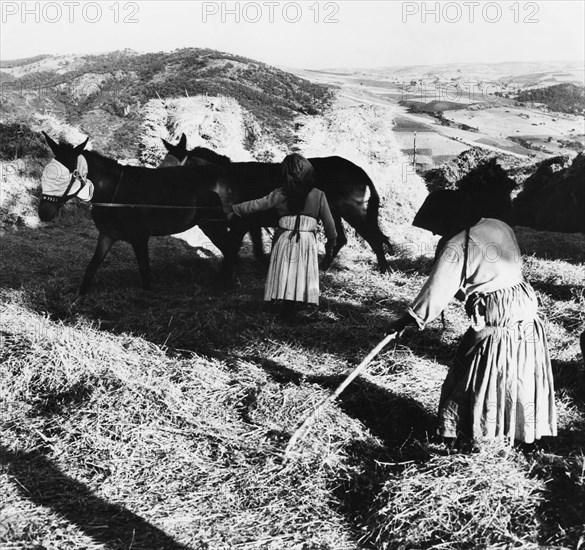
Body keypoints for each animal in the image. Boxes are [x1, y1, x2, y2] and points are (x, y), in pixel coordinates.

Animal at [38, 133, 237, 296]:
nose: (44, 213)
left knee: (229, 249)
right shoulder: (107, 235)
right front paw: (80, 296)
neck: (115, 192)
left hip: (212, 223)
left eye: (68, 175)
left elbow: (144, 271)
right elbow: (92, 267)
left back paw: (227, 283)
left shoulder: (140, 238)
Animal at [161, 134, 392, 272]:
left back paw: (384, 268)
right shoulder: (250, 220)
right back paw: (324, 265)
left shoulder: (243, 221)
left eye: (171, 170)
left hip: (349, 208)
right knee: (341, 238)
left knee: (372, 235)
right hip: (334, 210)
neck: (225, 180)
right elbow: (254, 243)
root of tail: (359, 170)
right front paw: (260, 262)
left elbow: (235, 243)